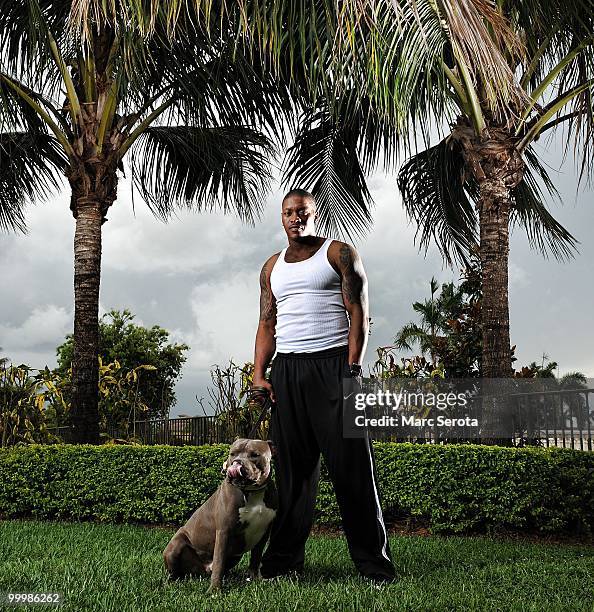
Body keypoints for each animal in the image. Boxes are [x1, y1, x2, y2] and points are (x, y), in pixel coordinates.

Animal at [163, 440, 276, 592]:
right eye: (232, 453)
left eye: (254, 455)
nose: (237, 462)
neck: (252, 492)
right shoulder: (224, 531)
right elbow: (219, 562)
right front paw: (215, 590)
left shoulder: (264, 533)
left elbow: (255, 559)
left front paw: (256, 580)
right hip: (175, 545)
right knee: (174, 571)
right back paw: (171, 583)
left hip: (235, 555)